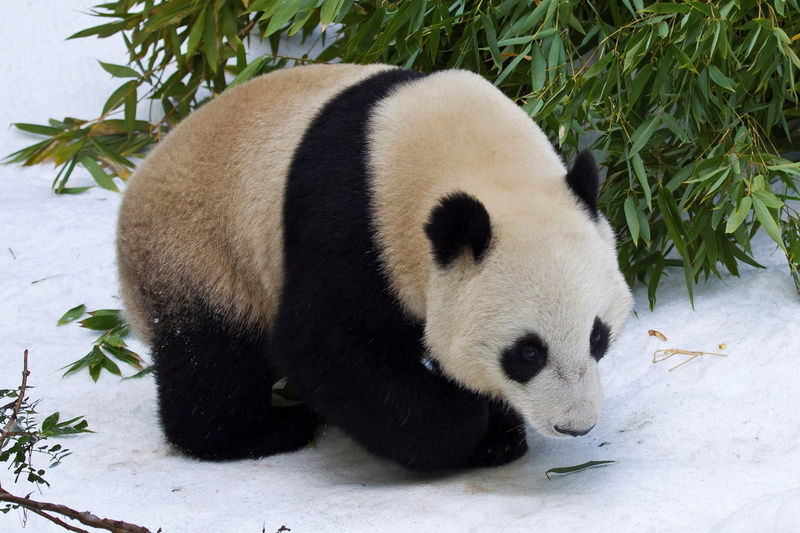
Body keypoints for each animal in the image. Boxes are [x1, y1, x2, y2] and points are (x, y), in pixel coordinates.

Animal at [117, 63, 633, 470]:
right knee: (212, 363)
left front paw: (498, 433)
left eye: (597, 336)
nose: (575, 425)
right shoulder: (354, 225)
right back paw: (265, 431)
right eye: (527, 353)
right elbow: (328, 348)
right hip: (200, 252)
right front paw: (471, 426)